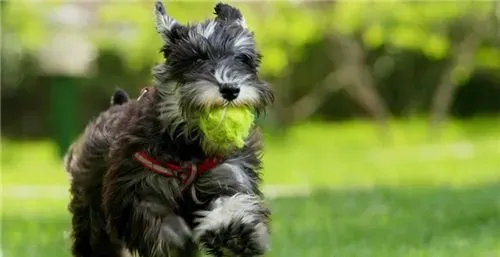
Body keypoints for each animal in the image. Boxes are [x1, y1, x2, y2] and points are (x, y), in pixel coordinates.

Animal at [63, 2, 274, 256]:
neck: (188, 145)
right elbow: (158, 222)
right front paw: (175, 237)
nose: (230, 89)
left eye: (242, 58)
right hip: (91, 213)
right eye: (196, 59)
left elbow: (231, 202)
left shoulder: (228, 173)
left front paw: (234, 234)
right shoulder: (137, 189)